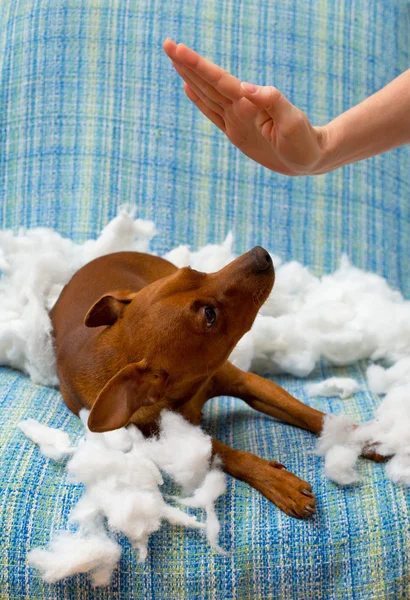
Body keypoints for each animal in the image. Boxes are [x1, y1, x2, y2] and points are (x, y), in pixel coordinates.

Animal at [50, 246, 366, 516]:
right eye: (210, 315)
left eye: (195, 271)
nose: (261, 253)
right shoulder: (172, 436)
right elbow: (228, 454)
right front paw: (274, 480)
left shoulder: (248, 383)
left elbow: (309, 413)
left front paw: (364, 437)